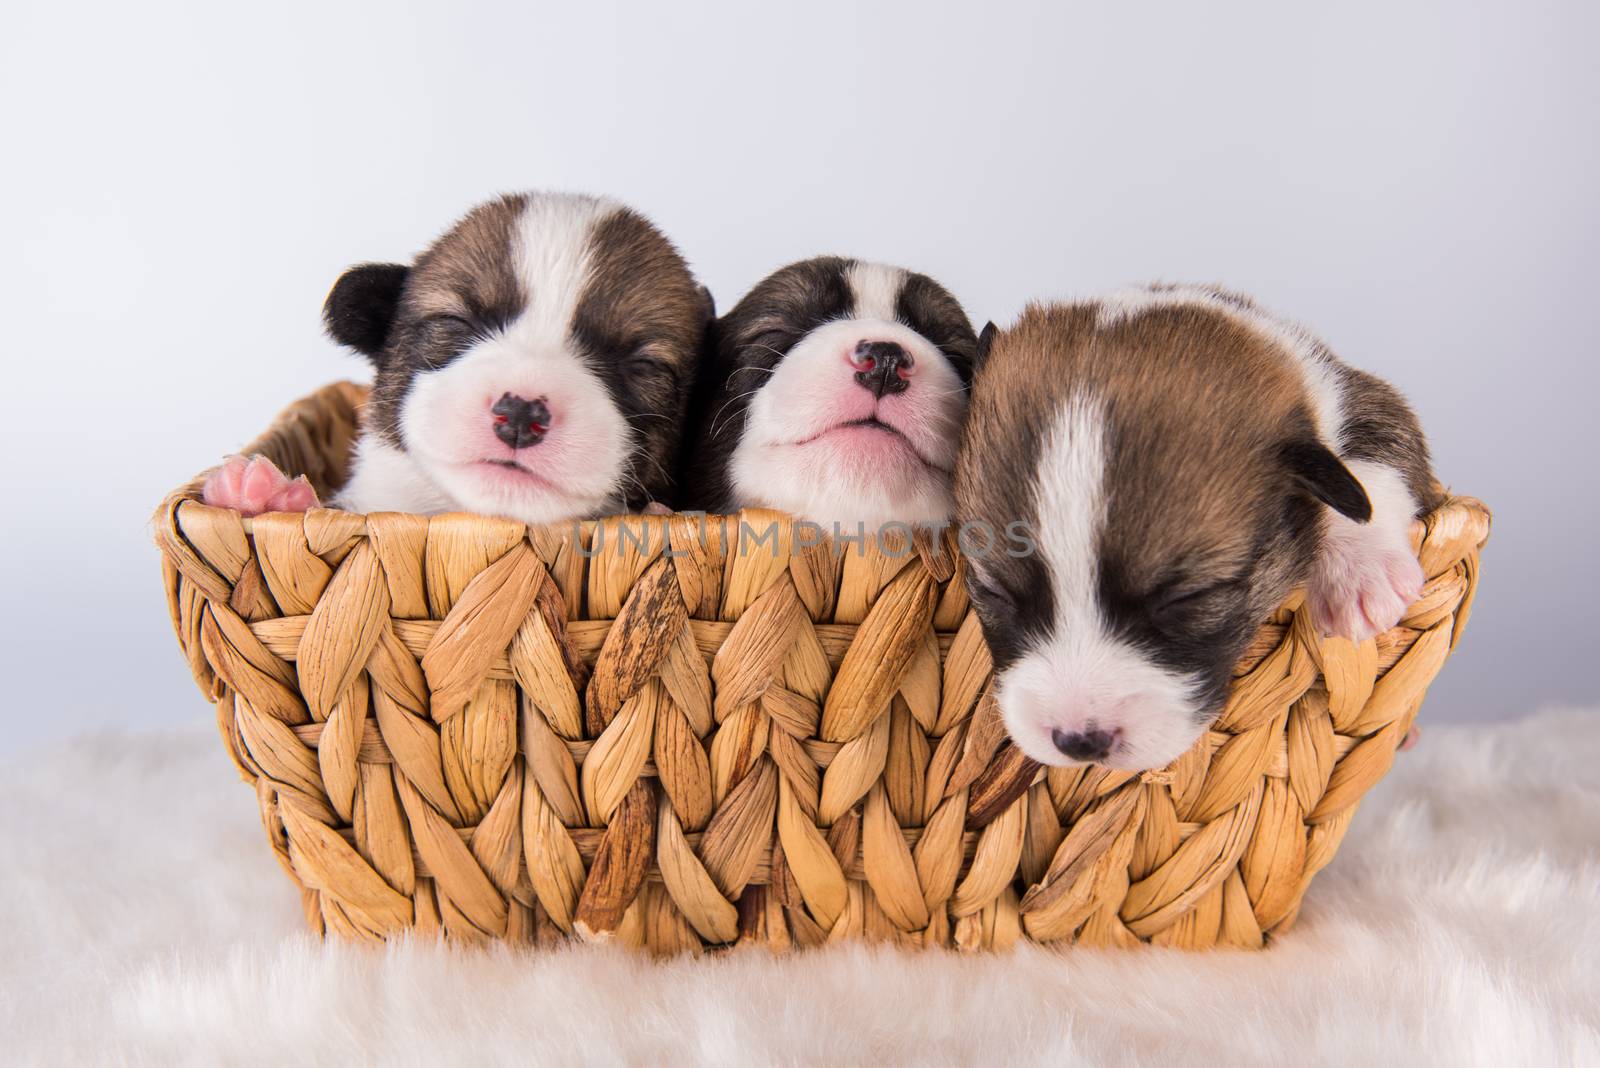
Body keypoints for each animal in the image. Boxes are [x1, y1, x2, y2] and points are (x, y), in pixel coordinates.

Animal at [953, 282, 1446, 767]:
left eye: (1189, 597)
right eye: (993, 590)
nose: (1079, 742)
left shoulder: (1353, 393)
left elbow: (1373, 458)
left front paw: (1361, 574)